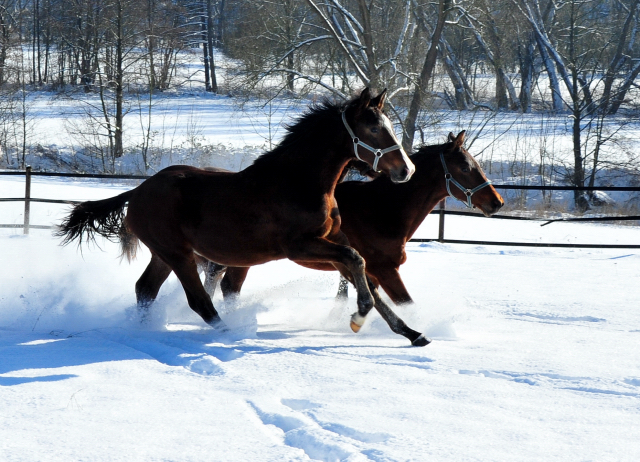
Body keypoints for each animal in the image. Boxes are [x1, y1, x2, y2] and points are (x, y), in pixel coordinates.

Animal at [55, 88, 430, 344]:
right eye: (373, 129)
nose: (407, 171)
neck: (301, 182)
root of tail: (136, 193)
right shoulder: (300, 248)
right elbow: (358, 264)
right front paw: (358, 317)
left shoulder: (329, 242)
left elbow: (365, 276)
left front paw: (412, 332)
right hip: (178, 254)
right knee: (199, 300)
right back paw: (231, 332)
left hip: (163, 255)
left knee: (145, 289)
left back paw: (146, 330)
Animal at [205, 132, 504, 328]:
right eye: (465, 167)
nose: (497, 202)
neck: (383, 208)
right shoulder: (384, 269)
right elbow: (406, 303)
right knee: (227, 285)